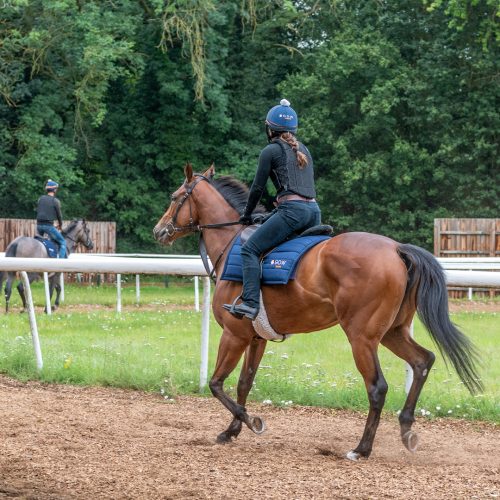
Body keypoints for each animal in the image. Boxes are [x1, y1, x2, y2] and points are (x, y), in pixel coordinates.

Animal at [153, 164, 480, 460]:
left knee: (377, 387)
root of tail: (397, 249)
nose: (159, 230)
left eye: (174, 197)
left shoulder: (234, 335)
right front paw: (231, 430)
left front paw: (253, 422)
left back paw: (361, 449)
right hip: (392, 332)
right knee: (423, 361)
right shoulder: (255, 338)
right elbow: (244, 383)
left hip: (361, 338)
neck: (232, 242)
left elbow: (216, 383)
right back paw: (406, 429)